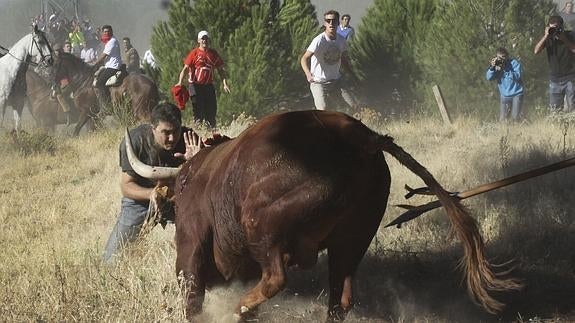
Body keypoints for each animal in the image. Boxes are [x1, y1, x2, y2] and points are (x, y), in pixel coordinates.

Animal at [128, 110, 524, 322]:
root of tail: (362, 137)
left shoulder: (189, 255)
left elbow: (192, 297)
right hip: (352, 239)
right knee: (340, 298)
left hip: (262, 226)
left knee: (275, 278)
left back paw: (238, 308)